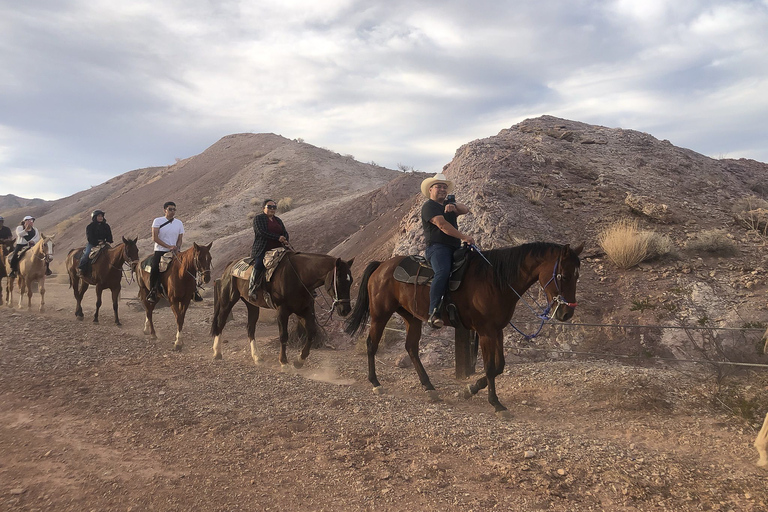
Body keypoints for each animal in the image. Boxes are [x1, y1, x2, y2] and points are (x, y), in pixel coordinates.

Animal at [210, 252, 354, 368]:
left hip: (252, 305)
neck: (299, 277)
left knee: (250, 328)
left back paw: (257, 357)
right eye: (339, 280)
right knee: (221, 322)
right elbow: (284, 336)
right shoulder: (282, 311)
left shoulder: (304, 310)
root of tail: (230, 265)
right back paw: (217, 352)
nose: (345, 310)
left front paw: (299, 361)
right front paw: (284, 362)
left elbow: (311, 333)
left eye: (350, 281)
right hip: (228, 301)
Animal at [344, 241, 584, 416]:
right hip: (380, 315)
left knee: (411, 348)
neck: (495, 280)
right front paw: (496, 404)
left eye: (577, 275)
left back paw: (429, 388)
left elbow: (499, 366)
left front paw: (470, 390)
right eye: (564, 275)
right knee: (371, 344)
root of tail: (382, 265)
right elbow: (490, 367)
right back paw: (376, 383)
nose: (567, 313)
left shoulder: (497, 330)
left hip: (411, 318)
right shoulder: (485, 332)